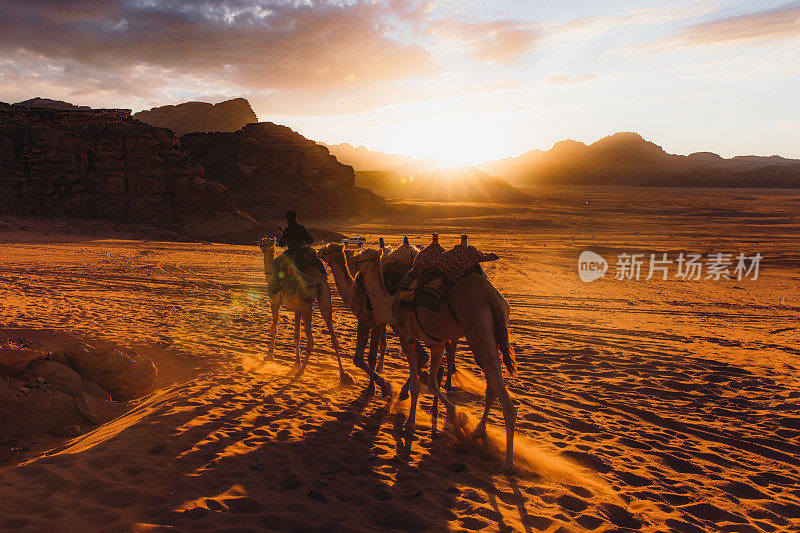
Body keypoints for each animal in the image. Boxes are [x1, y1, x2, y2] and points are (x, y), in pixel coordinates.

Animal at [260, 237, 350, 382]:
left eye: (264, 241)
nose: (259, 243)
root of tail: (318, 278)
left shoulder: (275, 302)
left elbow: (274, 329)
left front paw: (269, 356)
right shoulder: (297, 309)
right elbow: (297, 336)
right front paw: (297, 362)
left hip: (307, 304)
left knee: (311, 341)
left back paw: (301, 372)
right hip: (325, 298)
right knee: (333, 337)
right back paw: (343, 373)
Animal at [352, 244, 516, 470]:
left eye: (363, 258)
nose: (353, 262)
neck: (390, 302)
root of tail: (492, 297)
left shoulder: (407, 335)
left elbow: (416, 384)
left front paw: (409, 424)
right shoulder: (436, 343)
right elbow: (431, 383)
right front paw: (459, 416)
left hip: (478, 331)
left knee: (503, 395)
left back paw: (507, 464)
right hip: (490, 336)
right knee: (492, 385)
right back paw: (479, 430)